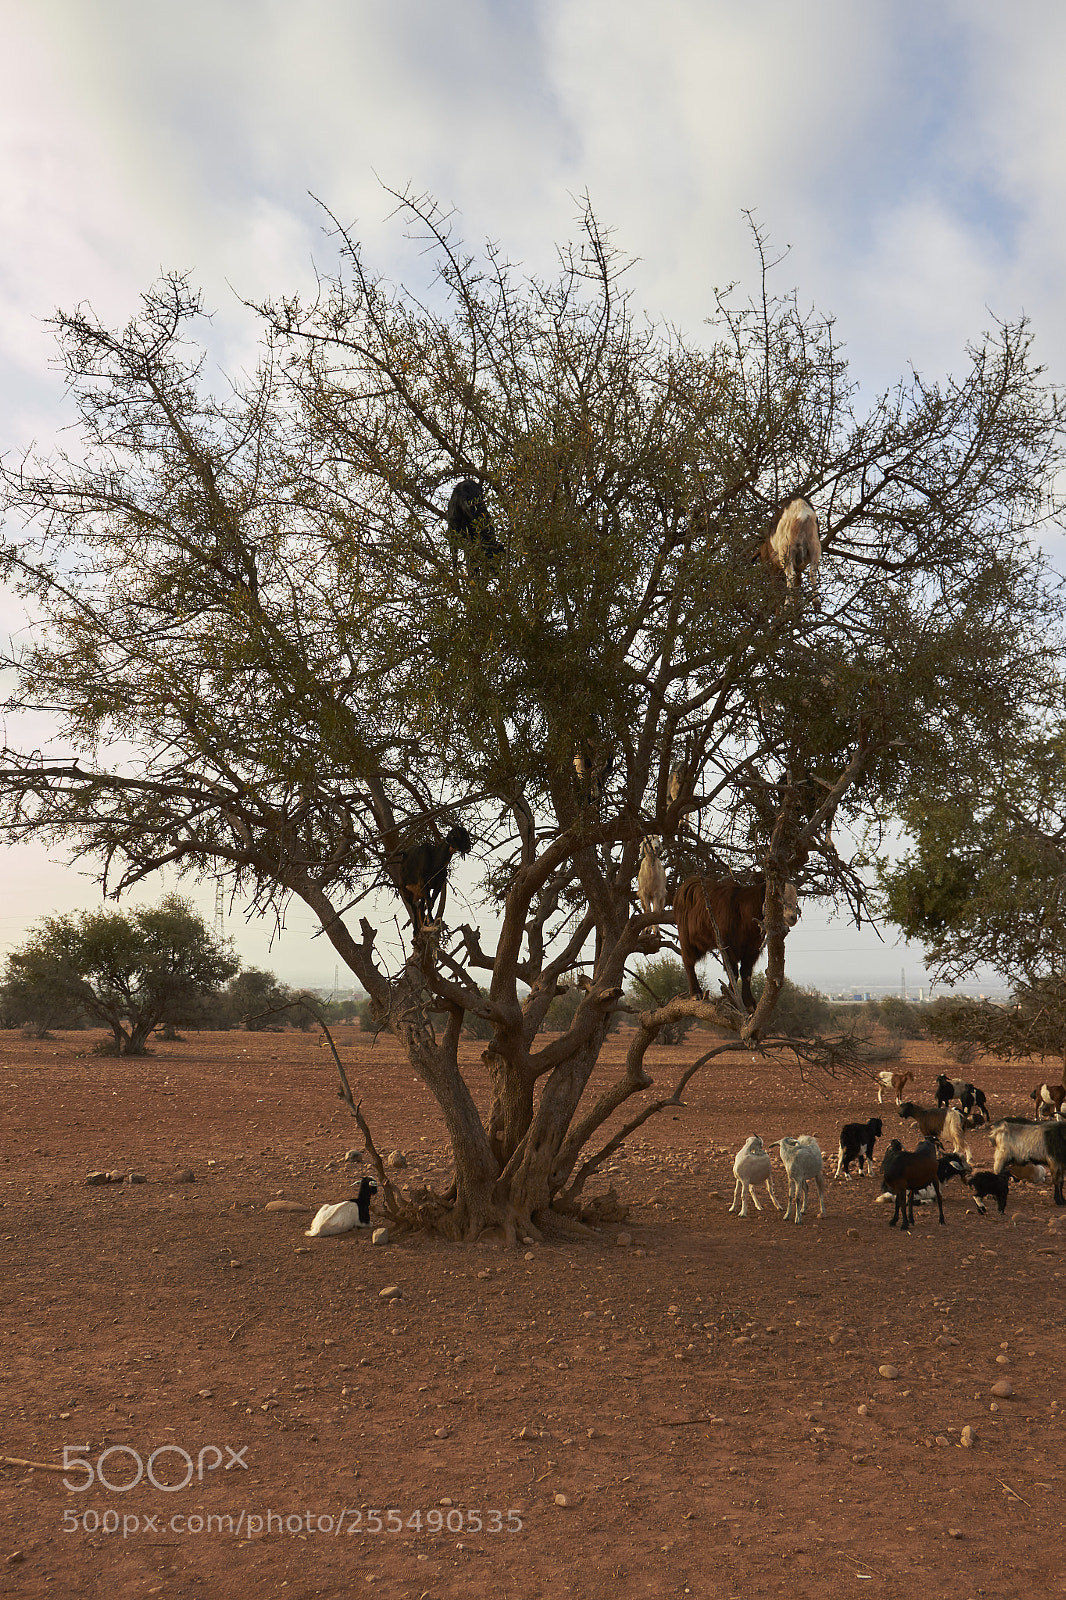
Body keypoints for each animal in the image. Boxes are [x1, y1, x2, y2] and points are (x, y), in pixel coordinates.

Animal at [673, 874, 799, 1010]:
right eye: (778, 898)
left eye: (795, 899)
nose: (793, 917)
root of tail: (690, 882)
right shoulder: (727, 946)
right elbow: (733, 973)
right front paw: (733, 999)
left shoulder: (752, 949)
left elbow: (746, 973)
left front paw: (749, 1003)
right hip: (687, 939)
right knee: (688, 962)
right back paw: (695, 993)